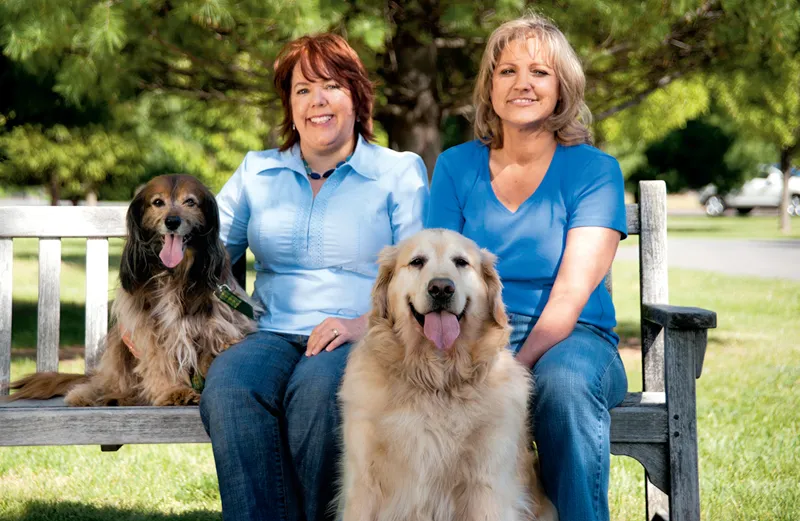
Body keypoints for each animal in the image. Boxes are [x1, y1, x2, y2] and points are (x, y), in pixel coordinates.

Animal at [6, 175, 256, 406]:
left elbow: (210, 347)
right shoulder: (149, 327)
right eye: (158, 202)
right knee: (106, 383)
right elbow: (158, 360)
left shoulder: (212, 321)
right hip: (118, 349)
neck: (173, 274)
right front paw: (173, 391)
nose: (172, 221)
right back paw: (94, 395)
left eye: (190, 202)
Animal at [338, 229, 556, 520]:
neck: (437, 381)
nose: (441, 288)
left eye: (461, 262)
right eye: (417, 261)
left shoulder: (486, 486)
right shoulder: (364, 483)